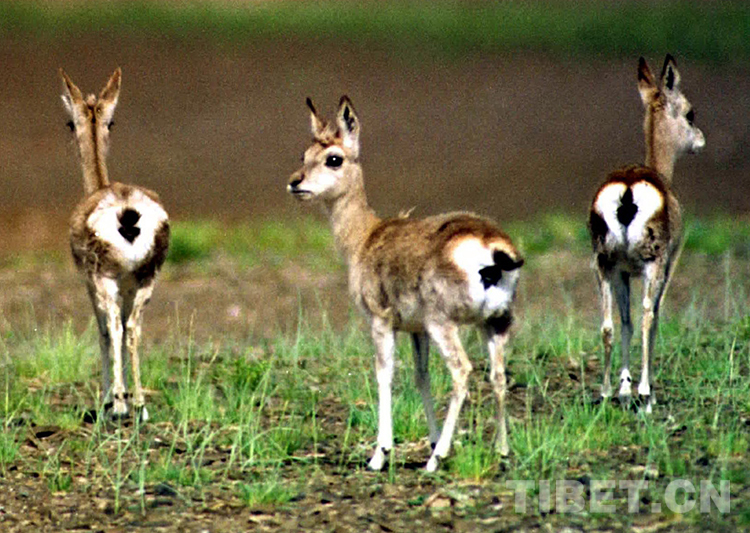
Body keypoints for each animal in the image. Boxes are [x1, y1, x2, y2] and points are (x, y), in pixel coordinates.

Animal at [60, 68, 170, 422]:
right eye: (111, 120)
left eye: (69, 122)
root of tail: (127, 211)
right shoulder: (128, 282)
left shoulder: (89, 281)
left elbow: (104, 332)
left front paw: (108, 398)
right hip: (147, 276)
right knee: (133, 327)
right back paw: (141, 405)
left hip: (105, 279)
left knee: (116, 328)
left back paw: (120, 404)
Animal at [288, 96, 524, 471]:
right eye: (304, 153)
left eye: (334, 158)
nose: (295, 182)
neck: (366, 237)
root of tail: (491, 243)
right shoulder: (416, 330)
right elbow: (421, 376)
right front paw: (430, 440)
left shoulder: (381, 322)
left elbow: (385, 374)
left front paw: (380, 455)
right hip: (495, 323)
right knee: (498, 376)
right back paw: (501, 452)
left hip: (445, 325)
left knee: (462, 372)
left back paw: (436, 461)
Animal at [589, 55, 704, 413]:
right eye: (690, 112)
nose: (700, 140)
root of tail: (628, 189)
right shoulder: (667, 266)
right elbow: (654, 318)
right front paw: (642, 389)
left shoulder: (624, 272)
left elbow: (623, 322)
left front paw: (624, 389)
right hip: (652, 264)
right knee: (646, 316)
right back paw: (645, 393)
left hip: (603, 265)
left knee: (609, 324)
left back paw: (606, 392)